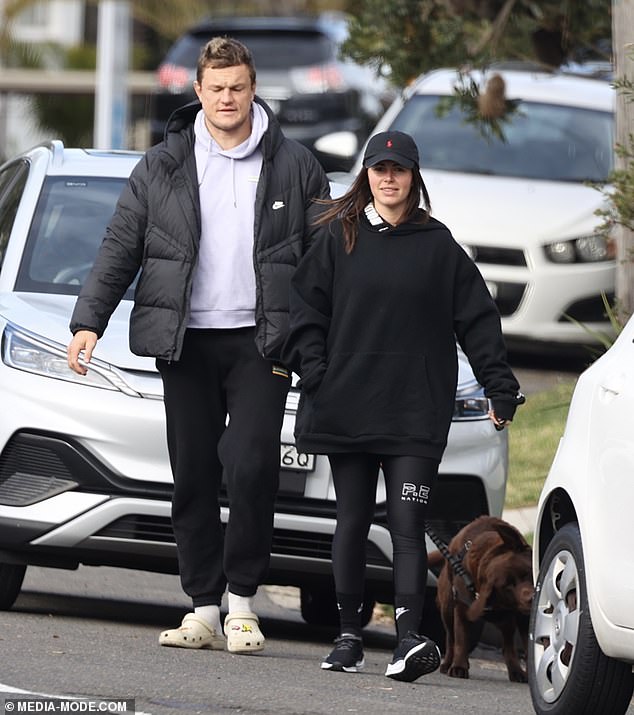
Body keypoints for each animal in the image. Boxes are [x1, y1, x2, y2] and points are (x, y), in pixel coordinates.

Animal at [430, 516, 532, 684]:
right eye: (508, 586)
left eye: (527, 574)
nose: (531, 598)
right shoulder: (462, 609)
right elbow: (460, 640)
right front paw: (459, 667)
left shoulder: (523, 618)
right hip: (447, 609)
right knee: (451, 639)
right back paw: (447, 664)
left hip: (506, 623)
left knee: (508, 645)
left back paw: (516, 671)